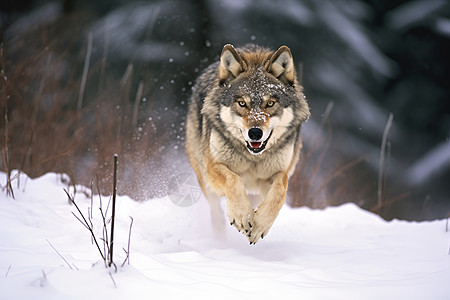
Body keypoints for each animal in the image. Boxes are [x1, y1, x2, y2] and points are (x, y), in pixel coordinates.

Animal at [185, 44, 310, 245]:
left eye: (270, 103)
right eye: (242, 103)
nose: (255, 133)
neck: (252, 157)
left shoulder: (278, 174)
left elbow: (280, 191)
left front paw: (259, 224)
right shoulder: (213, 168)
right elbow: (234, 179)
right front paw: (242, 216)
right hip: (205, 180)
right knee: (216, 212)